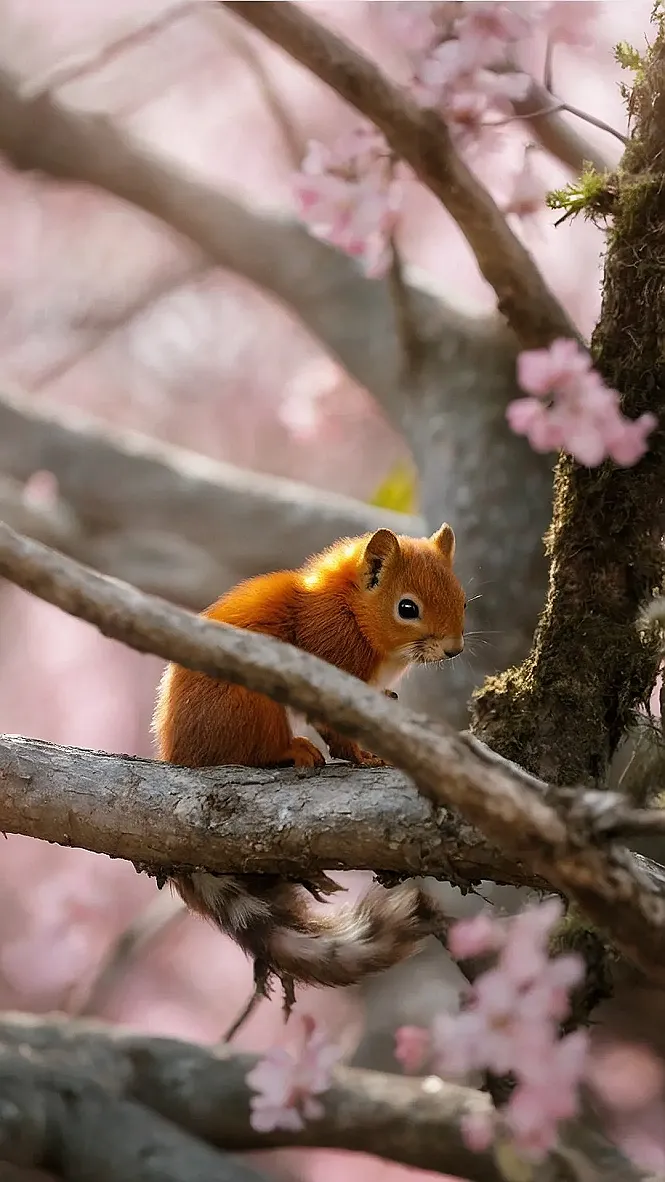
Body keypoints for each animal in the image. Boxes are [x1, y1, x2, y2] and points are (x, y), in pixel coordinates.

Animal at [152, 523, 466, 1002]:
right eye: (407, 608)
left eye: (463, 598)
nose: (454, 650)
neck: (351, 609)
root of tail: (177, 754)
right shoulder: (332, 667)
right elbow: (337, 734)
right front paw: (365, 757)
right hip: (252, 707)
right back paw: (292, 751)